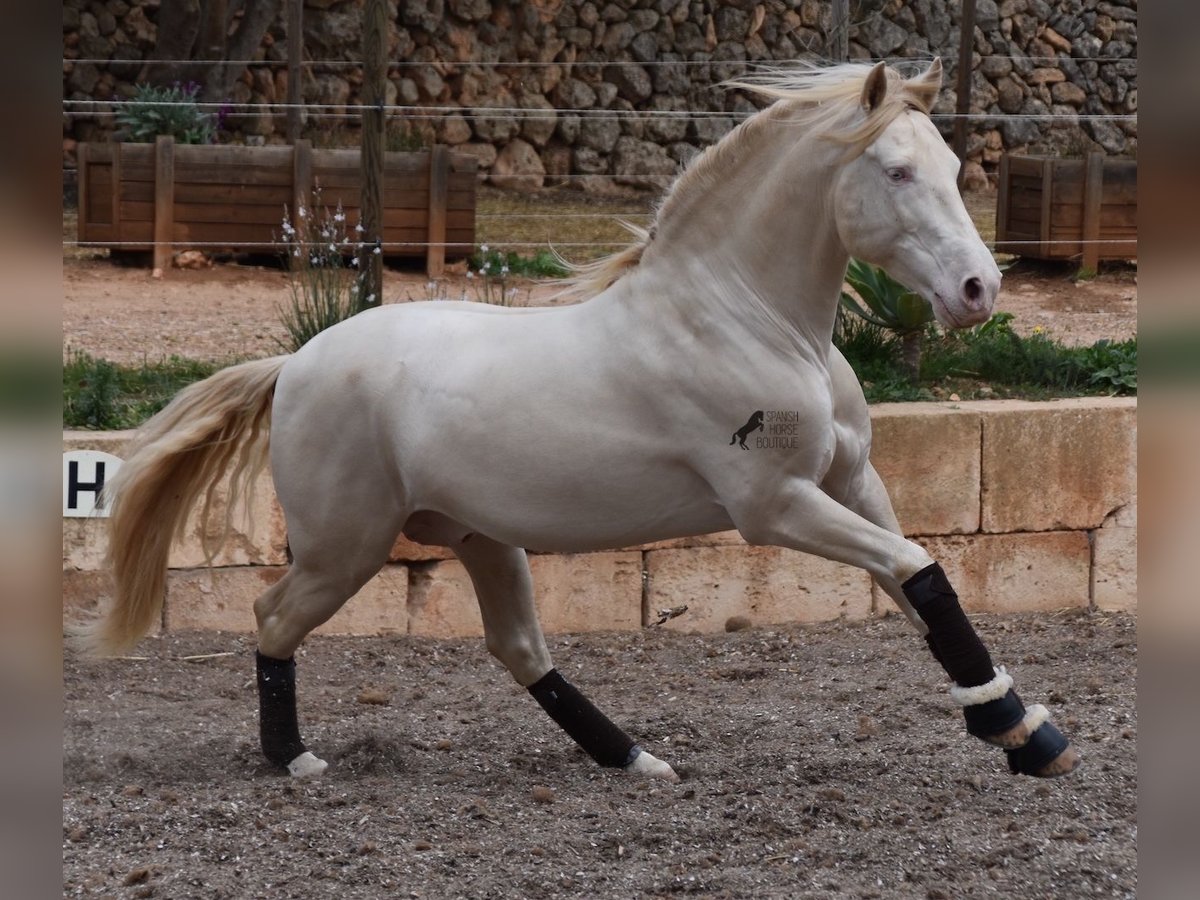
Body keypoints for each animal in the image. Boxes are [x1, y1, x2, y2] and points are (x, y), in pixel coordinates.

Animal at [82, 61, 1080, 782]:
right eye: (897, 171)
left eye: (953, 168)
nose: (978, 291)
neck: (748, 318)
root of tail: (296, 364)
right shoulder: (775, 505)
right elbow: (914, 572)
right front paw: (1015, 729)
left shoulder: (853, 481)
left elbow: (922, 583)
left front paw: (1023, 729)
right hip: (346, 546)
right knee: (273, 616)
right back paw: (294, 760)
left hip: (480, 537)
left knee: (519, 648)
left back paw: (635, 758)